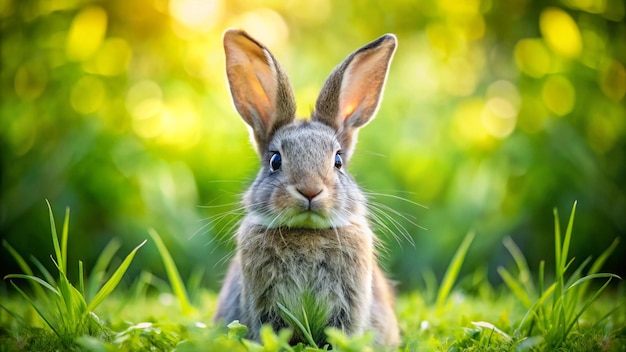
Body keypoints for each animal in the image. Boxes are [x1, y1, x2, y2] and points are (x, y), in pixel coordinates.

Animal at [213, 28, 400, 348]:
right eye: (275, 160)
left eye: (338, 161)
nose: (310, 190)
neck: (307, 232)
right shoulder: (265, 306)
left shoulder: (348, 307)